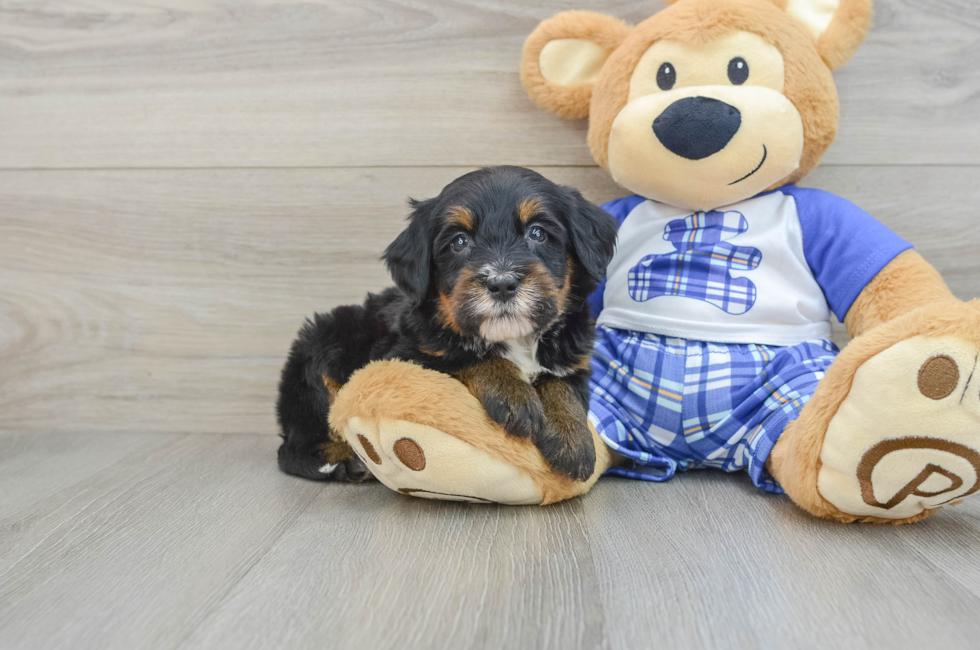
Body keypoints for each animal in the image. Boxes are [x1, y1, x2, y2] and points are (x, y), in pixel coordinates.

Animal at [272, 165, 616, 484]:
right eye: (460, 241)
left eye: (538, 233)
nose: (502, 283)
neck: (514, 338)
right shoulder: (405, 355)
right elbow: (466, 357)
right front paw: (514, 396)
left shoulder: (576, 360)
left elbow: (561, 383)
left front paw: (573, 440)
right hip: (320, 355)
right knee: (293, 447)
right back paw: (345, 462)